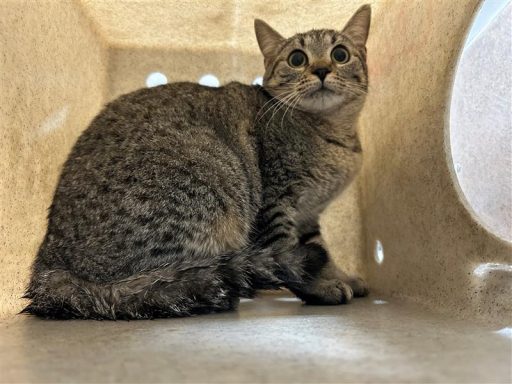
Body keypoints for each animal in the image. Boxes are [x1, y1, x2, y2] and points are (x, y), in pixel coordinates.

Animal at [23, 4, 372, 320]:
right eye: (297, 58)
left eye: (340, 54)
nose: (322, 69)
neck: (334, 136)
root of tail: (48, 264)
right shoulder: (276, 204)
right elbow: (290, 251)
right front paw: (320, 288)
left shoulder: (309, 215)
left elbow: (323, 251)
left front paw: (341, 276)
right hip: (207, 195)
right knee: (158, 285)